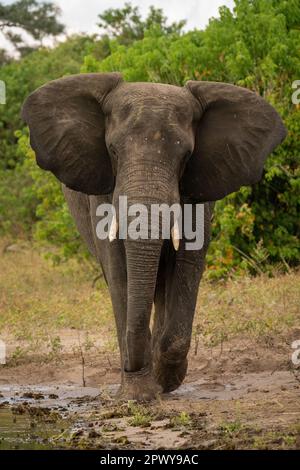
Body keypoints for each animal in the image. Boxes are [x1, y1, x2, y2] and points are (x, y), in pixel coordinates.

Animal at [21, 73, 286, 400]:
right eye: (113, 151)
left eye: (186, 156)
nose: (132, 366)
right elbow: (118, 271)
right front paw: (139, 395)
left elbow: (188, 264)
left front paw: (165, 379)